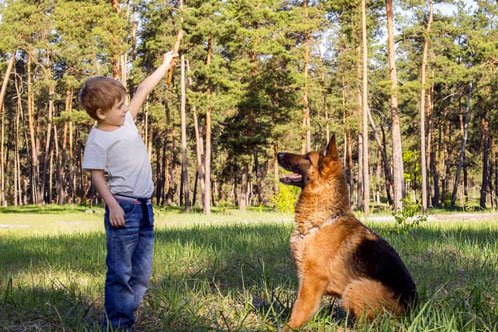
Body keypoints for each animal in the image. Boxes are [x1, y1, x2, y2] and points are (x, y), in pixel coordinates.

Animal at [276, 136, 416, 330]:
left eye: (307, 157)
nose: (278, 154)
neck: (324, 220)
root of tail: (410, 312)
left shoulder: (312, 281)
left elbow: (299, 309)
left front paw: (289, 327)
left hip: (354, 288)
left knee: (367, 326)